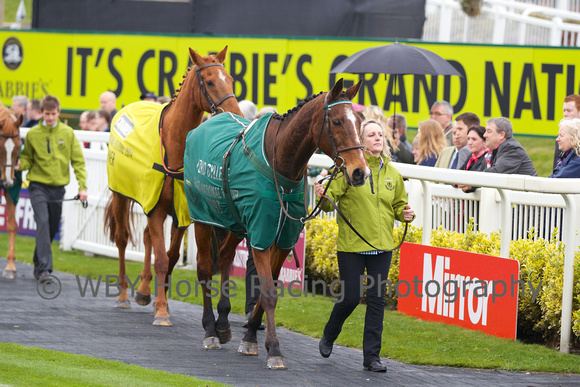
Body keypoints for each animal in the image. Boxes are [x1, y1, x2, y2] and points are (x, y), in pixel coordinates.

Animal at [103, 46, 241, 328]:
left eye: (231, 80)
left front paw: (160, 301)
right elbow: (162, 258)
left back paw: (144, 291)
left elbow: (172, 256)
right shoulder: (155, 208)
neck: (174, 144)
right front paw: (162, 312)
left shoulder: (181, 213)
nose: (236, 113)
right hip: (121, 194)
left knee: (146, 237)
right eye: (209, 81)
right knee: (122, 239)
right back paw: (123, 294)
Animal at [184, 79, 370, 370]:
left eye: (360, 121)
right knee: (204, 267)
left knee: (224, 257)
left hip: (234, 222)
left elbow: (265, 290)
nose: (360, 172)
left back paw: (223, 323)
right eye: (338, 121)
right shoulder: (261, 233)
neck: (281, 167)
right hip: (203, 216)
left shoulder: (284, 238)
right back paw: (211, 331)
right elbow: (269, 292)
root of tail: (204, 123)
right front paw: (273, 349)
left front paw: (249, 335)